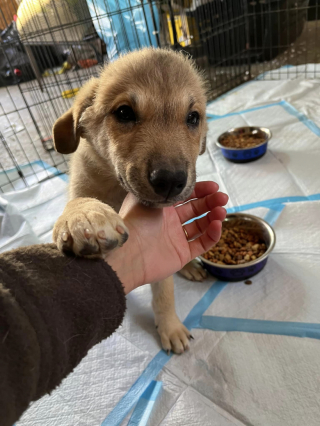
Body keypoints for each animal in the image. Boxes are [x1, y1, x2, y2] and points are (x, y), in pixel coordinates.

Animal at [52, 47, 208, 352]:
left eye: (193, 118)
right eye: (124, 113)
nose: (170, 180)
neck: (117, 189)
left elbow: (164, 291)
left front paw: (170, 327)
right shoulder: (82, 183)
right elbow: (78, 202)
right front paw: (84, 216)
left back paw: (189, 265)